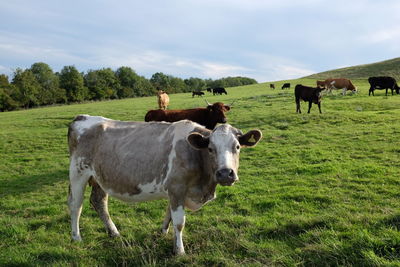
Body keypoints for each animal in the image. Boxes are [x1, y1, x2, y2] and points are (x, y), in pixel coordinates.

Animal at [68, 116, 262, 256]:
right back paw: (76, 237)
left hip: (99, 178)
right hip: (78, 173)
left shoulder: (176, 191)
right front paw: (180, 251)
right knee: (76, 205)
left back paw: (114, 232)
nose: (225, 173)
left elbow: (169, 214)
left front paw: (165, 234)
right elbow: (179, 222)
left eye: (237, 146)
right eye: (210, 149)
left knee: (99, 202)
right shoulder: (177, 187)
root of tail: (82, 117)